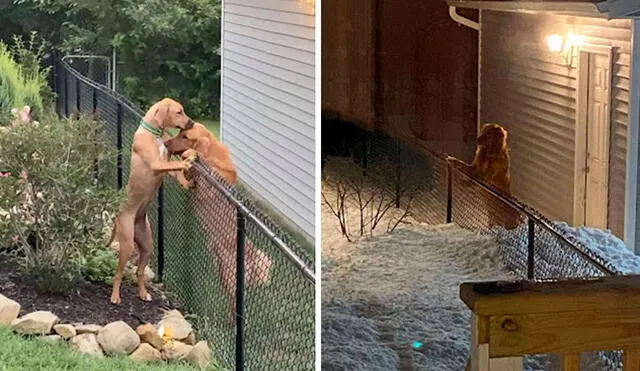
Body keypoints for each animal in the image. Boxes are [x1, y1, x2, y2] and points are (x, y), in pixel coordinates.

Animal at [108, 98, 195, 306]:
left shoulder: (165, 162)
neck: (154, 133)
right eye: (179, 112)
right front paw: (187, 162)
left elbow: (175, 169)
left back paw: (143, 293)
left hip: (147, 244)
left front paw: (186, 180)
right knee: (118, 273)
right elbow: (175, 164)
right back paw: (115, 296)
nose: (192, 123)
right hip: (127, 243)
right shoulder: (157, 164)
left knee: (139, 272)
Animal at [165, 124, 272, 322]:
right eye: (179, 132)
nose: (166, 143)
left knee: (237, 304)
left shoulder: (208, 182)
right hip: (223, 273)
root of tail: (251, 255)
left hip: (231, 276)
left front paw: (192, 154)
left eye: (186, 136)